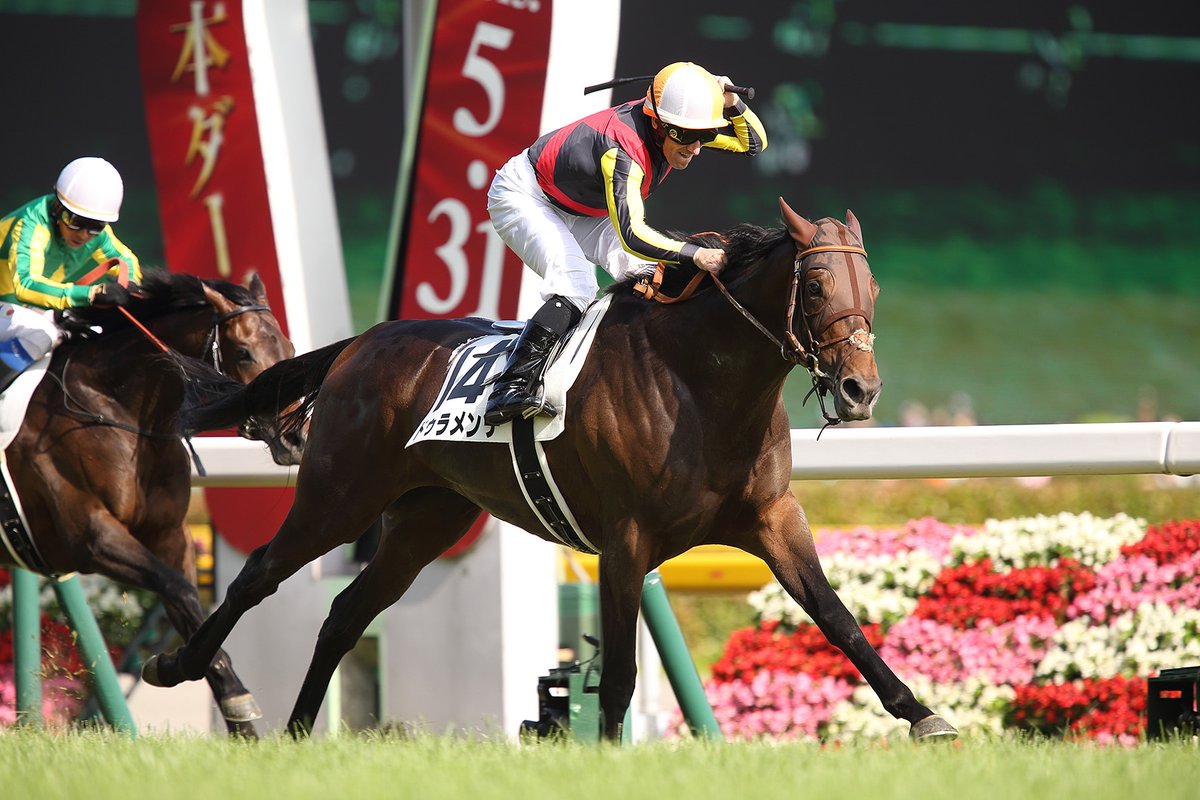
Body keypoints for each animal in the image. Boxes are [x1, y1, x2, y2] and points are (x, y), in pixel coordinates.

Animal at [0, 269, 301, 737]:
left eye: (289, 349)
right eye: (244, 352)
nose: (295, 437)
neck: (121, 411)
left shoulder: (169, 537)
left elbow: (188, 605)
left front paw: (241, 723)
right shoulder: (91, 539)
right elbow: (178, 590)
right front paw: (230, 695)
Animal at [141, 198, 958, 742]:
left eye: (872, 291)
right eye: (815, 288)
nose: (860, 390)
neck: (701, 383)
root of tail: (359, 344)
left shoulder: (772, 517)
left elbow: (838, 618)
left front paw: (922, 715)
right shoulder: (626, 540)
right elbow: (621, 668)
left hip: (428, 519)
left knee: (345, 614)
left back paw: (299, 731)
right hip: (341, 495)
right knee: (259, 575)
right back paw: (185, 672)